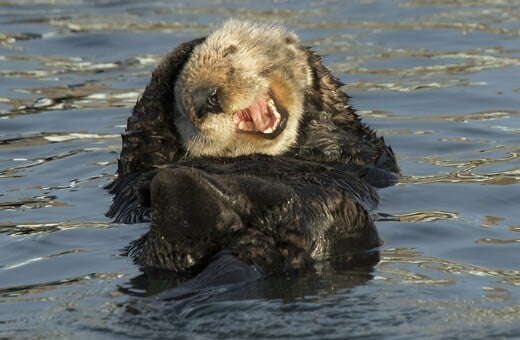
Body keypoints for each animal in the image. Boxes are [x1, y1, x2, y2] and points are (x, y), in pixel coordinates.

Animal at [105, 19, 398, 278]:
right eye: (184, 112)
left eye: (230, 53)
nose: (207, 99)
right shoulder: (142, 158)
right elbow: (142, 138)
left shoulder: (368, 151)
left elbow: (351, 143)